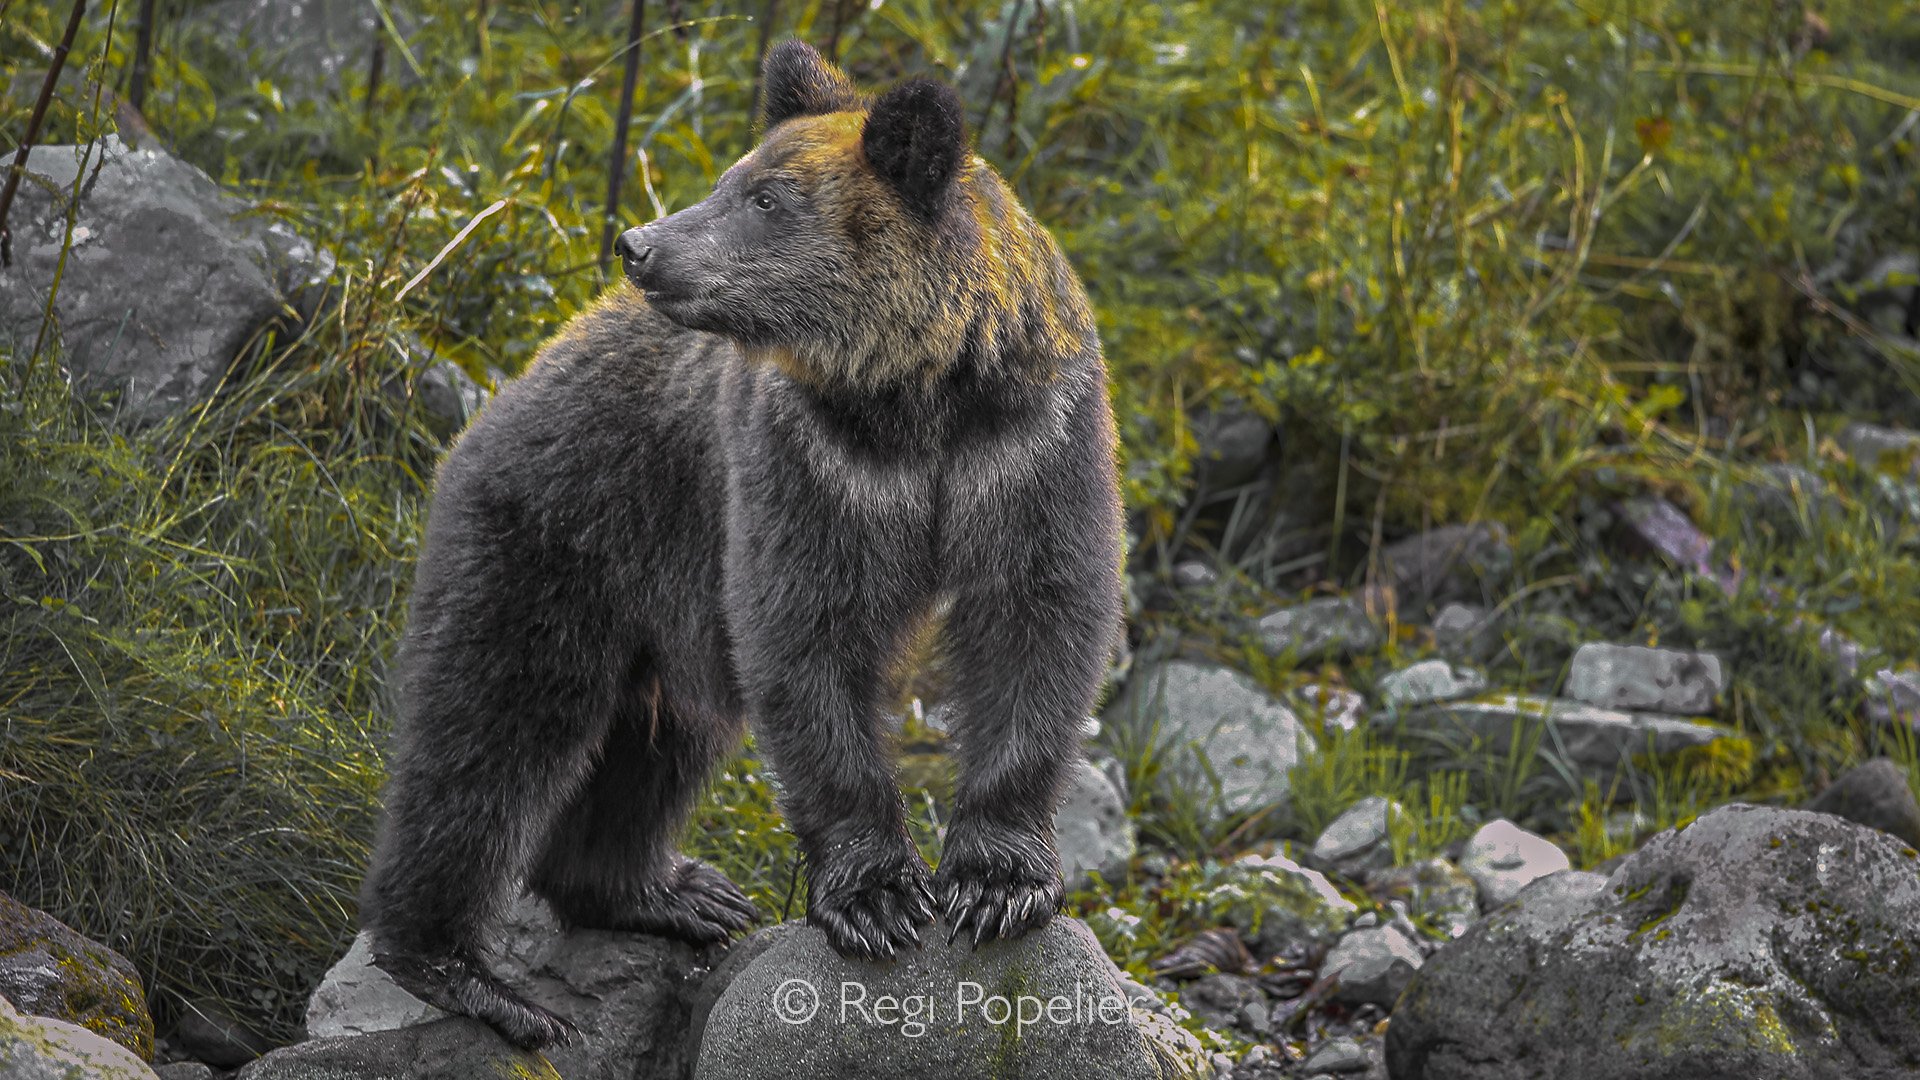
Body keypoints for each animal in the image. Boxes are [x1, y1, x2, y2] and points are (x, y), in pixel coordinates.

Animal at [357, 40, 1124, 1050]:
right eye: (733, 179)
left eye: (766, 198)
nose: (640, 244)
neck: (914, 395)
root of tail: (515, 382)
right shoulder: (804, 462)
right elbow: (805, 635)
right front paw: (878, 897)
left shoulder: (1029, 445)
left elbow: (1039, 619)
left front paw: (996, 883)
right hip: (566, 529)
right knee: (490, 733)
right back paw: (470, 972)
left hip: (659, 600)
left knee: (652, 745)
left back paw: (662, 892)